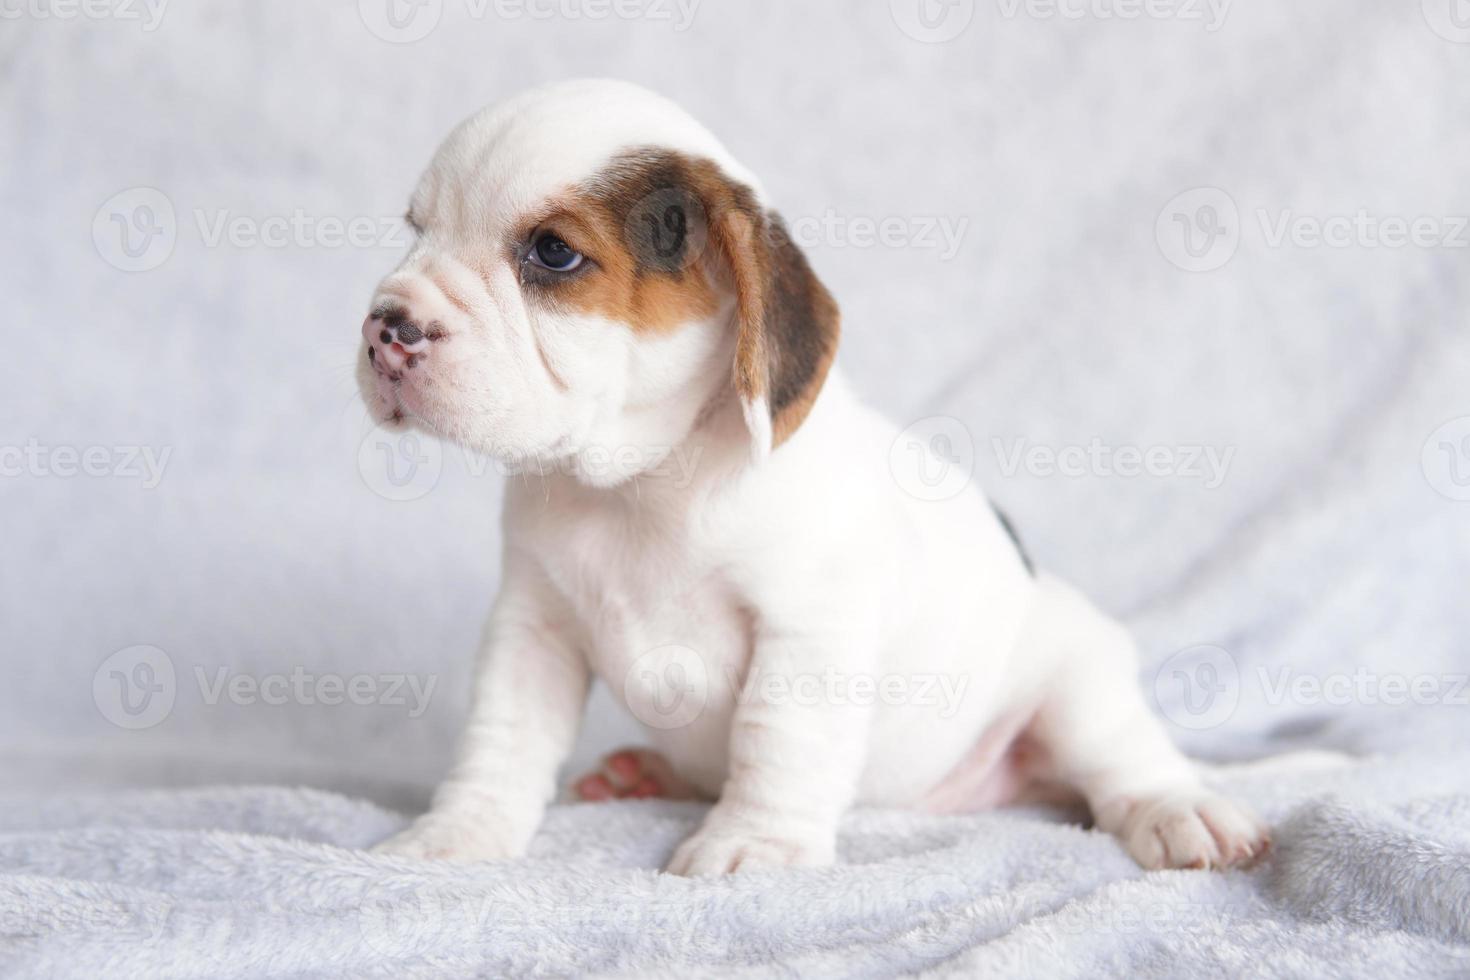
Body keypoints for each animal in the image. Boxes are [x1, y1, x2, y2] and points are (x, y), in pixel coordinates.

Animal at [361, 78, 1270, 875]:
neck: (642, 482)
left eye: (552, 253)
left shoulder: (804, 633)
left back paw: (1179, 809)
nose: (385, 327)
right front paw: (460, 830)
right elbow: (502, 739)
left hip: (1078, 684)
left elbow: (778, 738)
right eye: (416, 229)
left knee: (1123, 762)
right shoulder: (531, 630)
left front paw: (755, 843)